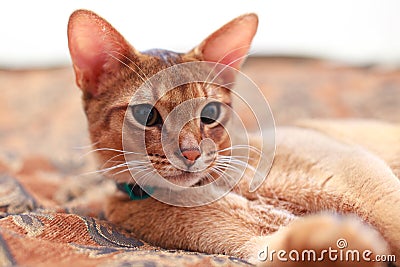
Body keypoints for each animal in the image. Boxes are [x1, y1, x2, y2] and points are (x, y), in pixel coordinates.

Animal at [69, 9, 400, 266]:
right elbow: (293, 246)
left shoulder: (356, 172)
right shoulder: (251, 241)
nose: (191, 153)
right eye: (146, 115)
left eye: (210, 112)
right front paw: (340, 237)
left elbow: (391, 215)